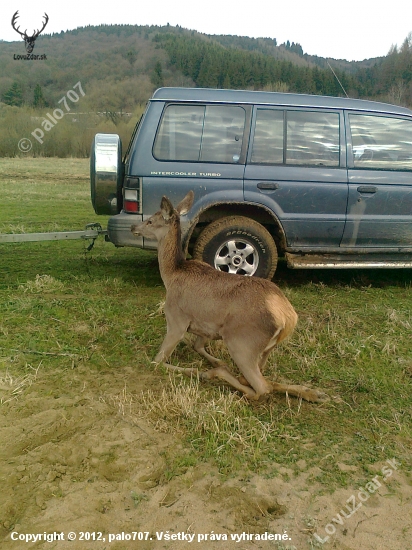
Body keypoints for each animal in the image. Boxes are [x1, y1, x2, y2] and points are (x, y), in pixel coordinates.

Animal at [130, 194, 326, 406]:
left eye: (150, 220)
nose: (133, 227)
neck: (172, 275)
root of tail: (288, 318)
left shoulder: (176, 319)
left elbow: (157, 361)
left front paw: (196, 370)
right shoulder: (206, 325)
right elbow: (197, 345)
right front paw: (215, 361)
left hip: (242, 343)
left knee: (262, 388)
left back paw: (214, 374)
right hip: (265, 349)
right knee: (261, 380)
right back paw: (315, 393)